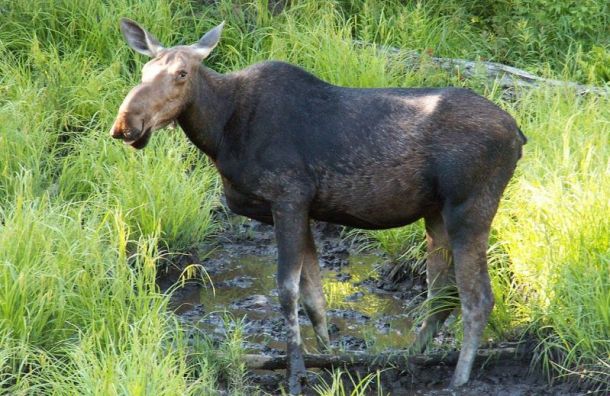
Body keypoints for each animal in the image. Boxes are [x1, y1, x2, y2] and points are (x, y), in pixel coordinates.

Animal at [111, 19, 524, 396]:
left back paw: (459, 379)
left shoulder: (288, 198)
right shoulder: (305, 210)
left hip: (469, 207)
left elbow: (287, 291)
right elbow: (315, 299)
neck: (220, 134)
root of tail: (520, 135)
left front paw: (296, 375)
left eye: (182, 74)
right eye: (144, 70)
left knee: (477, 297)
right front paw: (330, 361)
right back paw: (412, 359)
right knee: (441, 296)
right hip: (435, 214)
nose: (126, 123)